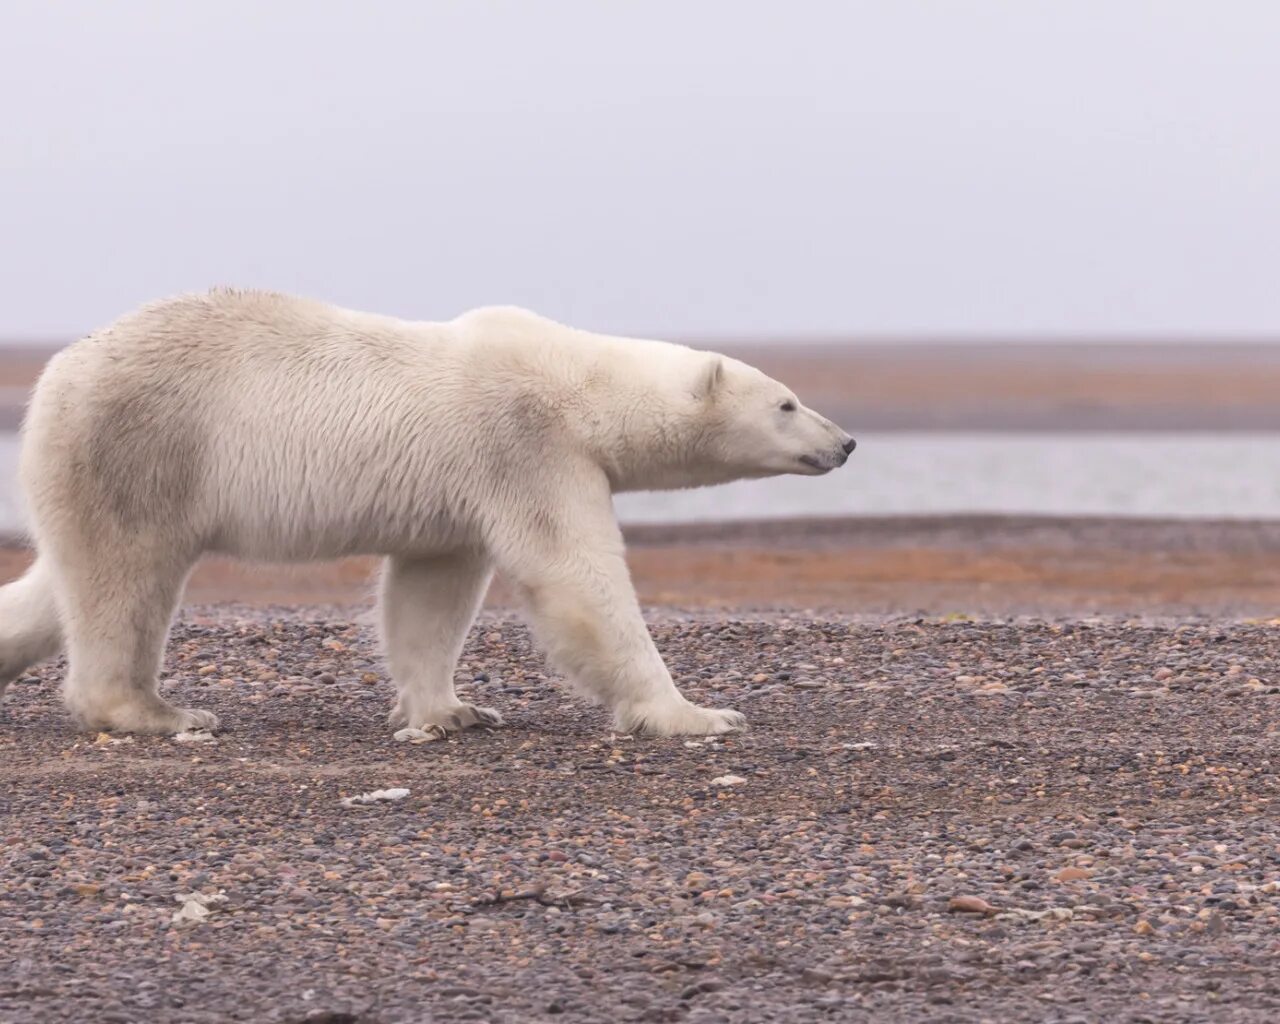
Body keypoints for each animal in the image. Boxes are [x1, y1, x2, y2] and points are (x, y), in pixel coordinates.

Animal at [2, 288, 860, 737]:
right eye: (787, 402)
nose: (847, 441)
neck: (576, 380)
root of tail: (56, 374)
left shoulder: (460, 491)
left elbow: (429, 596)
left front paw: (453, 710)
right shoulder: (525, 446)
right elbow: (576, 579)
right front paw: (697, 714)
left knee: (63, 583)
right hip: (145, 448)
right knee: (124, 580)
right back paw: (156, 710)